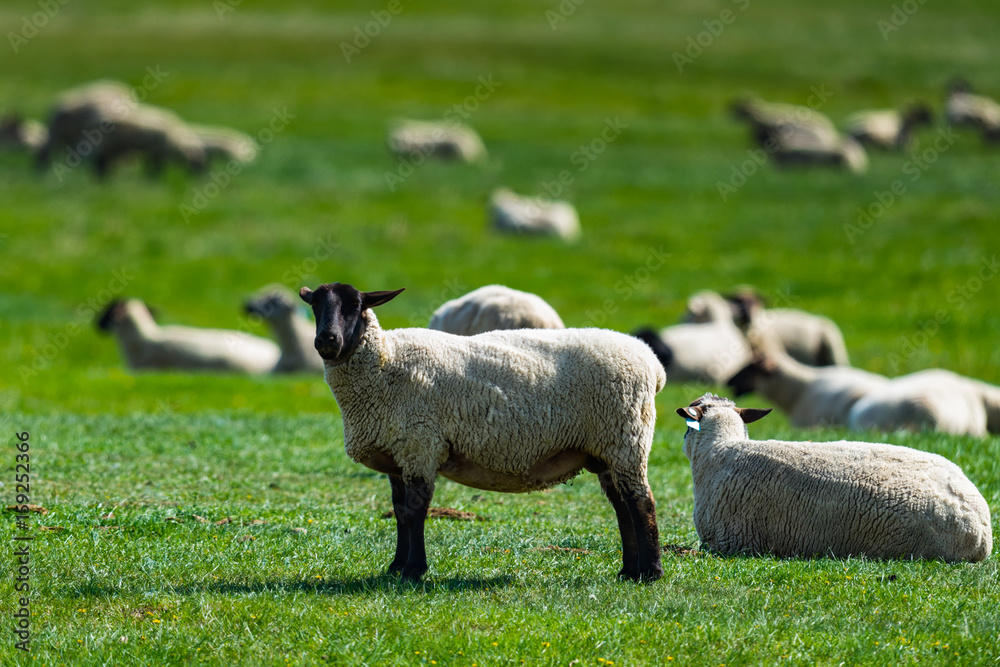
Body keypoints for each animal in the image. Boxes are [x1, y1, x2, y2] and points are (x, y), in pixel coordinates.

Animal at [38, 80, 205, 177]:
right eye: (198, 164)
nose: (201, 177)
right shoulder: (157, 151)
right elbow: (155, 169)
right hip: (98, 144)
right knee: (98, 164)